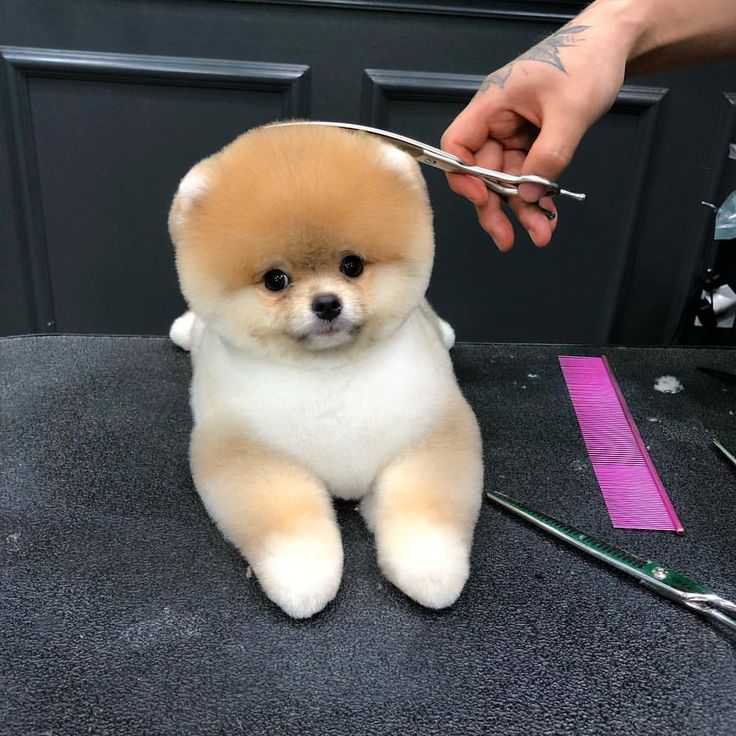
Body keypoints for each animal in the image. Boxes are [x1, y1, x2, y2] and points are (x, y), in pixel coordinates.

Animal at [170, 123, 486, 620]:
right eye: (275, 279)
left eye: (351, 265)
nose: (326, 303)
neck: (331, 374)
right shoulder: (248, 451)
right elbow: (288, 522)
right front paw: (303, 579)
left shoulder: (428, 432)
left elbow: (426, 508)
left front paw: (431, 570)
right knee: (198, 329)